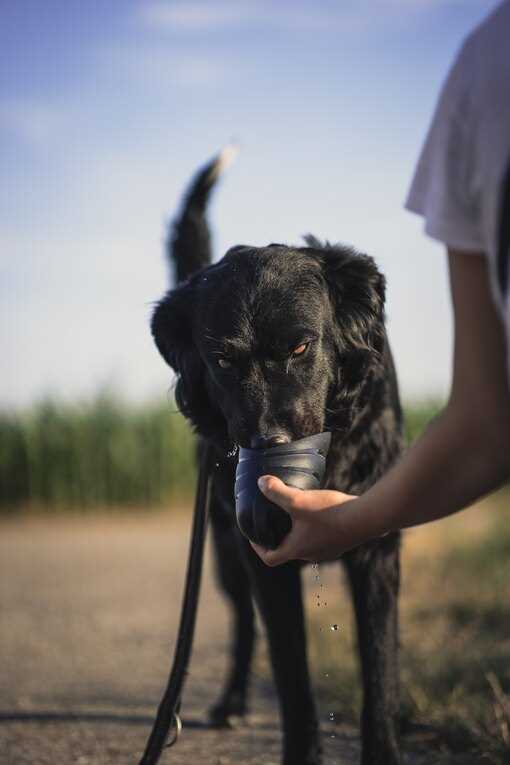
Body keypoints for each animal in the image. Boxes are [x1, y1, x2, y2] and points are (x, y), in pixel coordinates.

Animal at [151, 151, 402, 764]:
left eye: (301, 346)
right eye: (221, 360)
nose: (269, 446)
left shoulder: (378, 548)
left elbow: (379, 670)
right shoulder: (262, 556)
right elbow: (293, 681)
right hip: (223, 547)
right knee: (244, 625)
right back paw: (233, 702)